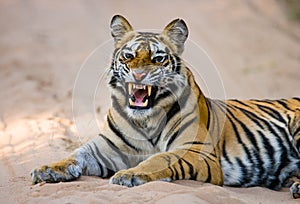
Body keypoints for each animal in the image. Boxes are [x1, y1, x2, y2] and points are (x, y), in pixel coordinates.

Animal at [31, 14, 300, 199]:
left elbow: (160, 158)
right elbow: (75, 154)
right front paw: (47, 169)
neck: (145, 119)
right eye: (128, 56)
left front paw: (129, 175)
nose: (139, 75)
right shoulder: (105, 149)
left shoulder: (195, 150)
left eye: (158, 58)